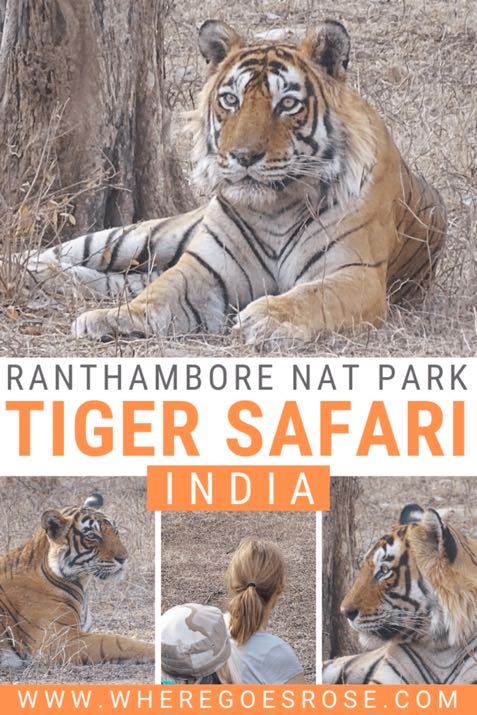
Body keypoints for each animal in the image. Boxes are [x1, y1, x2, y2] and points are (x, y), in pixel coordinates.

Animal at [0, 493, 154, 667]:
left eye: (115, 531)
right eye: (92, 536)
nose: (124, 558)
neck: (82, 584)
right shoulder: (57, 640)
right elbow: (115, 642)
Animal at [21, 19, 446, 343]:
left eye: (287, 104)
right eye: (231, 100)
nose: (243, 156)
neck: (276, 208)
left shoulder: (355, 274)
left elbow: (312, 297)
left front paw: (265, 316)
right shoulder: (203, 268)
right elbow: (158, 295)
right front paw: (110, 318)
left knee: (112, 279)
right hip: (146, 233)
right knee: (84, 252)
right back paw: (31, 266)